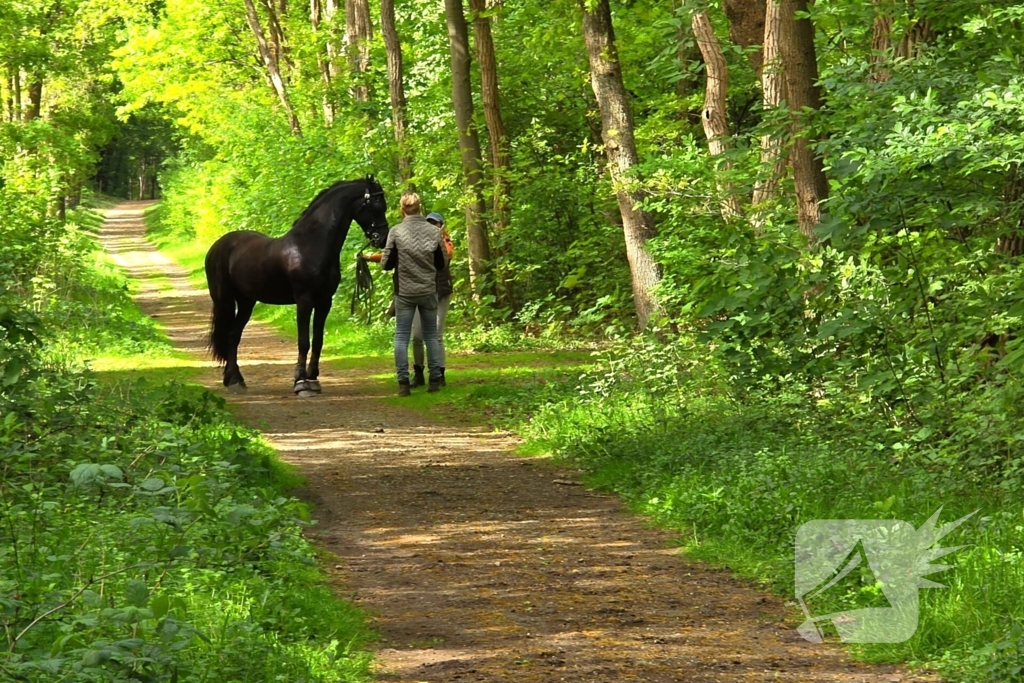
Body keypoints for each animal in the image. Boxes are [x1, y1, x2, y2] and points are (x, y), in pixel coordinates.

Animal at [204, 176, 388, 395]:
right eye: (376, 205)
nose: (383, 238)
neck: (309, 245)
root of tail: (217, 245)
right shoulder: (304, 301)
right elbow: (303, 341)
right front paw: (301, 381)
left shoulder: (324, 302)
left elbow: (317, 340)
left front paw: (313, 379)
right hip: (224, 299)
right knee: (228, 334)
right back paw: (232, 379)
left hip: (246, 302)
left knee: (233, 335)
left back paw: (235, 379)